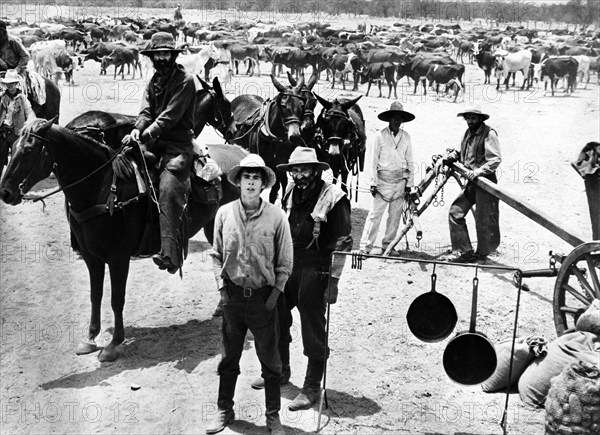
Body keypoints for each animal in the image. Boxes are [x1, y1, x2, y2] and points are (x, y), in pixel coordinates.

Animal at [0, 117, 246, 362]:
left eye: (29, 149)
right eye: (11, 147)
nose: (5, 192)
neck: (103, 189)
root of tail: (241, 152)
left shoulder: (118, 258)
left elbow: (116, 299)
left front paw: (114, 344)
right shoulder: (91, 256)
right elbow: (96, 295)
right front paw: (90, 338)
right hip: (212, 225)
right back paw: (222, 307)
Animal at [229, 74, 308, 204]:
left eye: (302, 105)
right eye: (283, 106)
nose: (295, 136)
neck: (274, 139)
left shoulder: (279, 167)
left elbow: (274, 191)